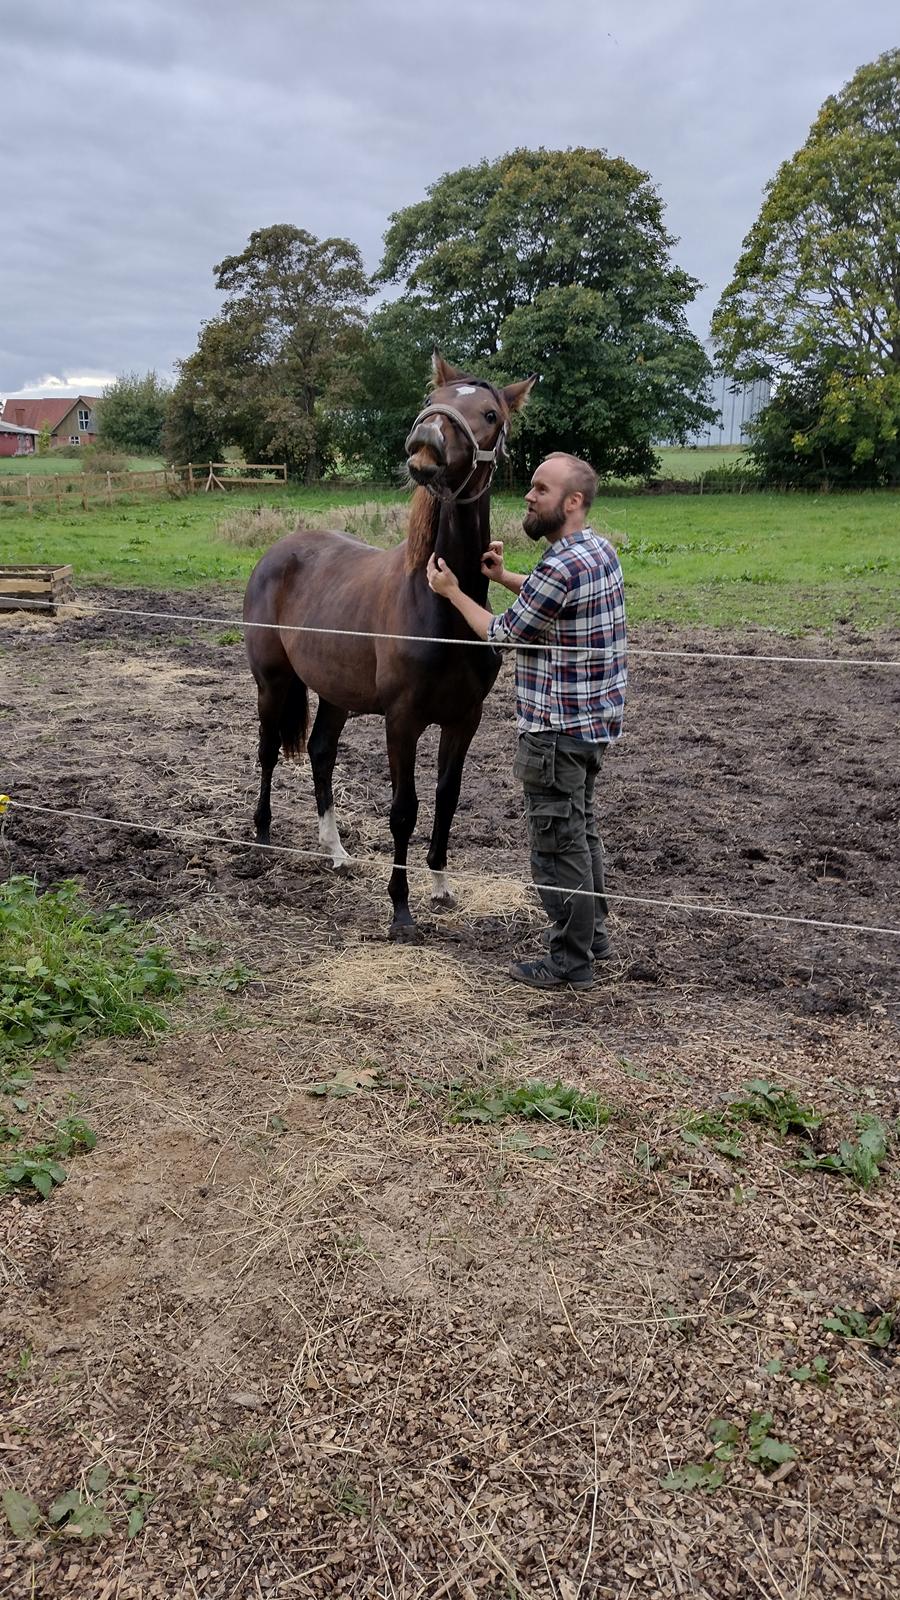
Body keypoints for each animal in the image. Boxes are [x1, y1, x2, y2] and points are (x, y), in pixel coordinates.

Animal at [240, 353, 531, 934]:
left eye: (490, 413)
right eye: (431, 402)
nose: (426, 442)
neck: (440, 610)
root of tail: (277, 552)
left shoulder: (464, 719)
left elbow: (446, 798)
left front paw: (440, 884)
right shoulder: (403, 719)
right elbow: (403, 809)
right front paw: (400, 910)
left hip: (335, 694)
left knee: (320, 753)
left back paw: (335, 851)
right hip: (272, 684)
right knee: (267, 752)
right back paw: (261, 837)